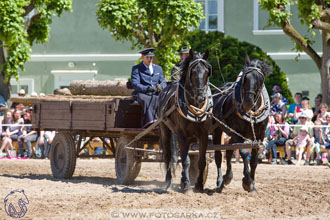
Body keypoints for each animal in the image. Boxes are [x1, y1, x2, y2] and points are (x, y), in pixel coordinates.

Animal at [159, 49, 213, 192]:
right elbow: (185, 160)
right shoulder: (181, 134)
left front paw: (199, 184)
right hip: (165, 130)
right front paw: (187, 184)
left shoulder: (203, 134)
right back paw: (168, 181)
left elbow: (201, 161)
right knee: (168, 156)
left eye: (207, 72)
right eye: (192, 72)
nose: (200, 97)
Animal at [213, 54, 272, 192]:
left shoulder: (260, 135)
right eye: (245, 78)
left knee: (229, 150)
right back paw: (220, 181)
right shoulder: (237, 132)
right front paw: (247, 181)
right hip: (218, 130)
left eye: (261, 79)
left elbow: (254, 159)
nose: (248, 102)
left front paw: (253, 184)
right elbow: (244, 153)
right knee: (219, 155)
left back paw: (227, 177)